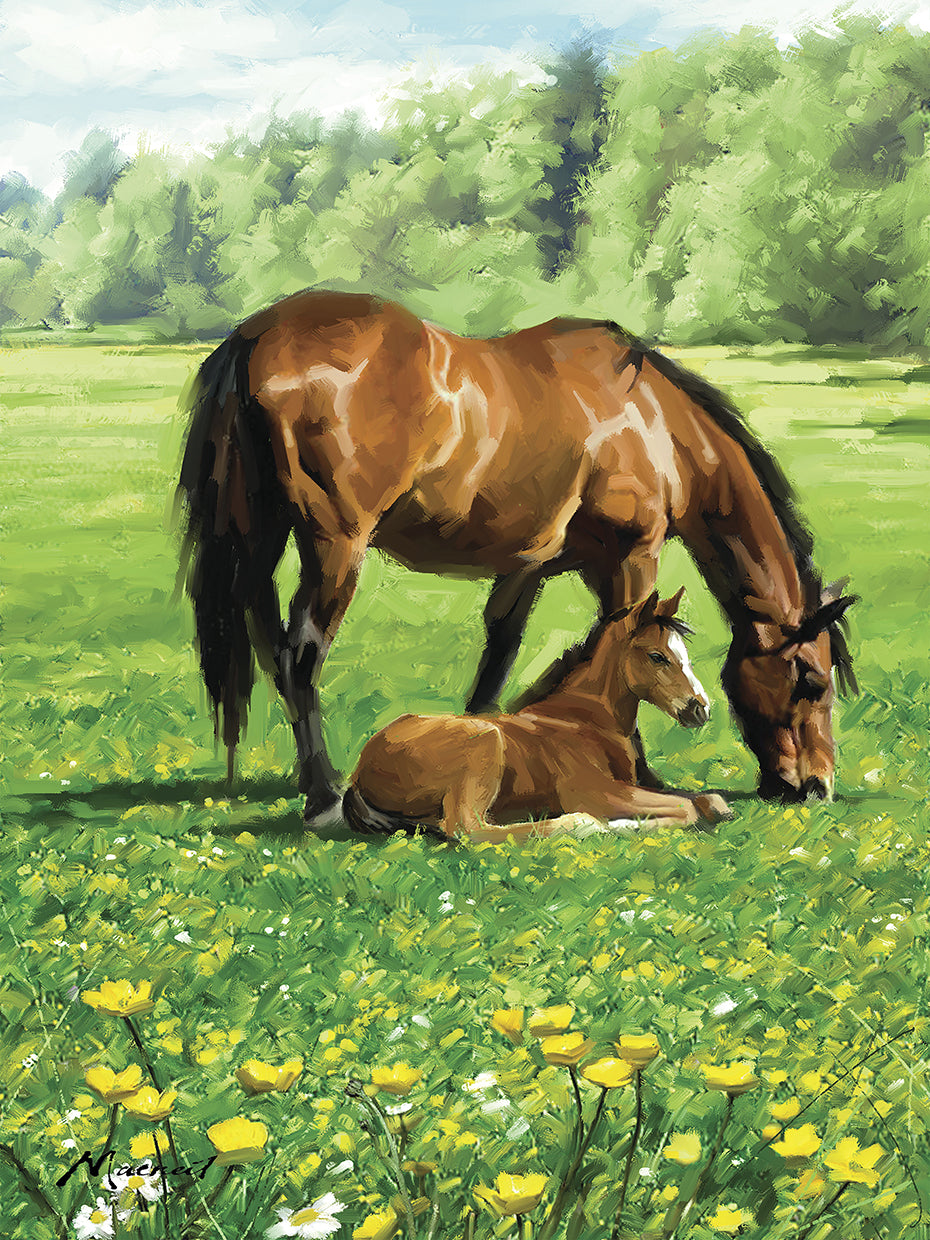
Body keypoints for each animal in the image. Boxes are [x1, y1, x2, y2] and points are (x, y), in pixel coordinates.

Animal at [343, 589, 731, 842]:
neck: (583, 720)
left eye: (684, 654)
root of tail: (360, 770)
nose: (700, 708)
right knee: (468, 830)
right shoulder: (597, 792)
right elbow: (686, 809)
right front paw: (622, 826)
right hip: (484, 742)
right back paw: (580, 825)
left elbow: (707, 801)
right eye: (656, 656)